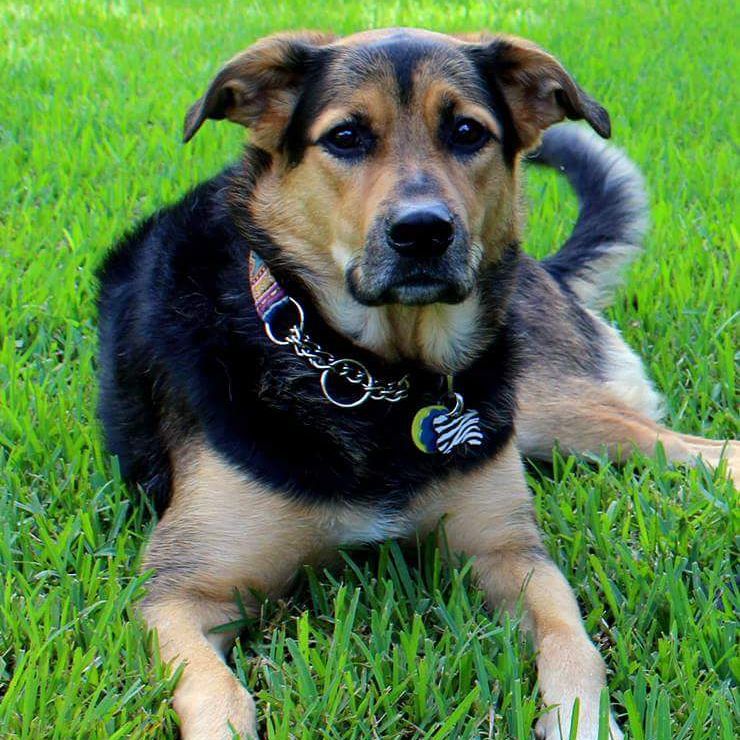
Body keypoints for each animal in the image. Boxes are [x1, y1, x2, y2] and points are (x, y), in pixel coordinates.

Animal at [95, 27, 736, 740]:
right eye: (346, 136)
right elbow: (220, 695)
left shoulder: (510, 553)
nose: (423, 231)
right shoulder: (179, 591)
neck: (370, 375)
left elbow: (574, 644)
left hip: (550, 409)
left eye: (467, 131)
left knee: (698, 449)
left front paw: (584, 723)